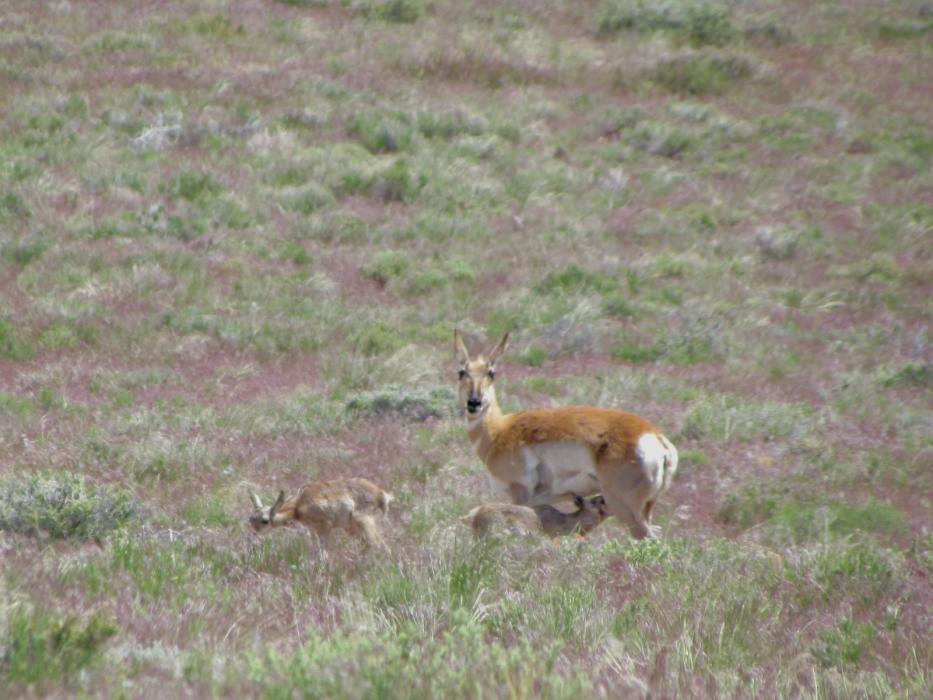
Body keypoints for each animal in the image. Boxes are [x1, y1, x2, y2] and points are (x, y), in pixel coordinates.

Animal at [249, 478, 393, 551]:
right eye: (250, 519)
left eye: (265, 520)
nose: (254, 534)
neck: (299, 505)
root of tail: (381, 493)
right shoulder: (313, 531)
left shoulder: (325, 528)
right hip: (351, 528)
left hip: (364, 523)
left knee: (379, 545)